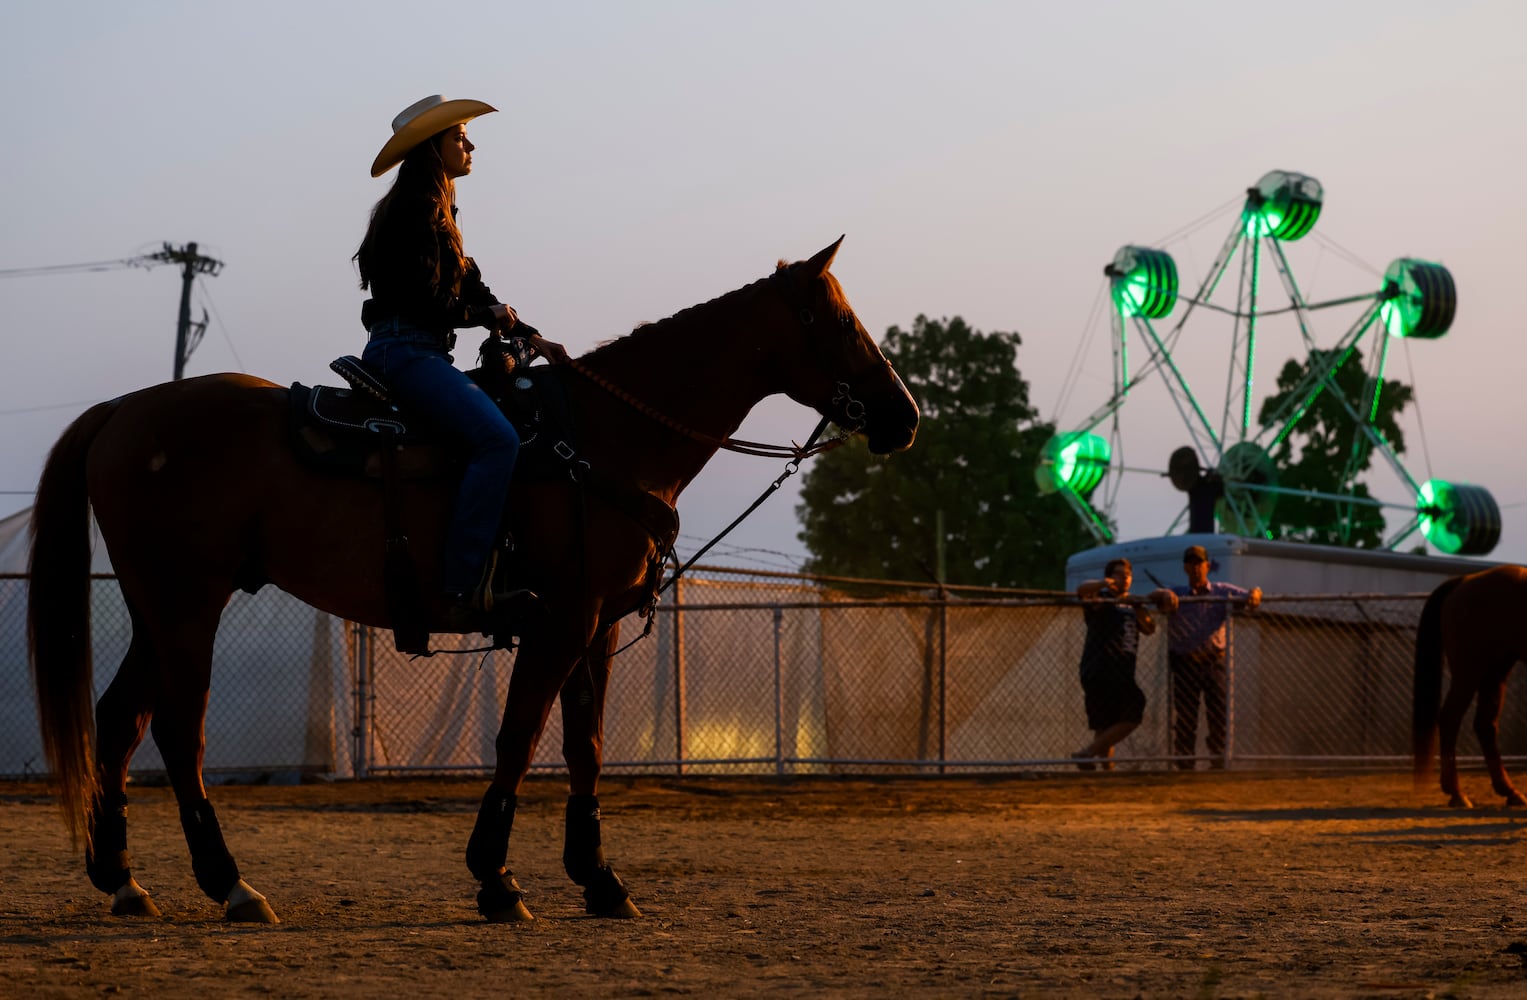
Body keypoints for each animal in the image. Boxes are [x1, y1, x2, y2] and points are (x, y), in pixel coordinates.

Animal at [26, 235, 916, 922]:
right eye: (841, 322)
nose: (903, 416)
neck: (600, 438)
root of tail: (123, 410)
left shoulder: (594, 626)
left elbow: (585, 746)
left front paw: (599, 880)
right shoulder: (558, 621)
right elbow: (519, 738)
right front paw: (497, 879)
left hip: (159, 608)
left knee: (118, 719)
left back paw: (124, 882)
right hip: (187, 605)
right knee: (178, 731)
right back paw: (232, 887)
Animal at [1410, 567, 1520, 812]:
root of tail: (1465, 580)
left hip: (1495, 670)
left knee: (1485, 724)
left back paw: (1509, 792)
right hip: (1469, 671)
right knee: (1451, 718)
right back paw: (1457, 794)